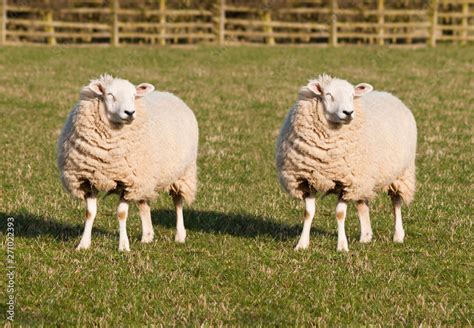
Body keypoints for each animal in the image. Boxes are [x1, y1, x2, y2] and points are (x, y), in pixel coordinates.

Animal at [57, 74, 198, 252]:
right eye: (110, 95)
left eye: (133, 95)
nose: (130, 112)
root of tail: (171, 94)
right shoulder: (89, 180)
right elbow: (90, 213)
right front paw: (83, 244)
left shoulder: (127, 182)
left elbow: (121, 214)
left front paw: (123, 246)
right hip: (145, 178)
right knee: (144, 203)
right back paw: (147, 236)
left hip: (182, 173)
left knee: (178, 202)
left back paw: (180, 235)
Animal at [276, 74, 416, 252]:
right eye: (328, 94)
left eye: (352, 95)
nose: (348, 112)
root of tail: (390, 95)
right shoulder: (306, 180)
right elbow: (308, 213)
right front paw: (302, 244)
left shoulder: (346, 182)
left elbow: (340, 214)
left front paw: (342, 246)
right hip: (364, 177)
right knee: (362, 203)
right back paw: (366, 237)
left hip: (401, 173)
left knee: (396, 202)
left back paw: (398, 235)